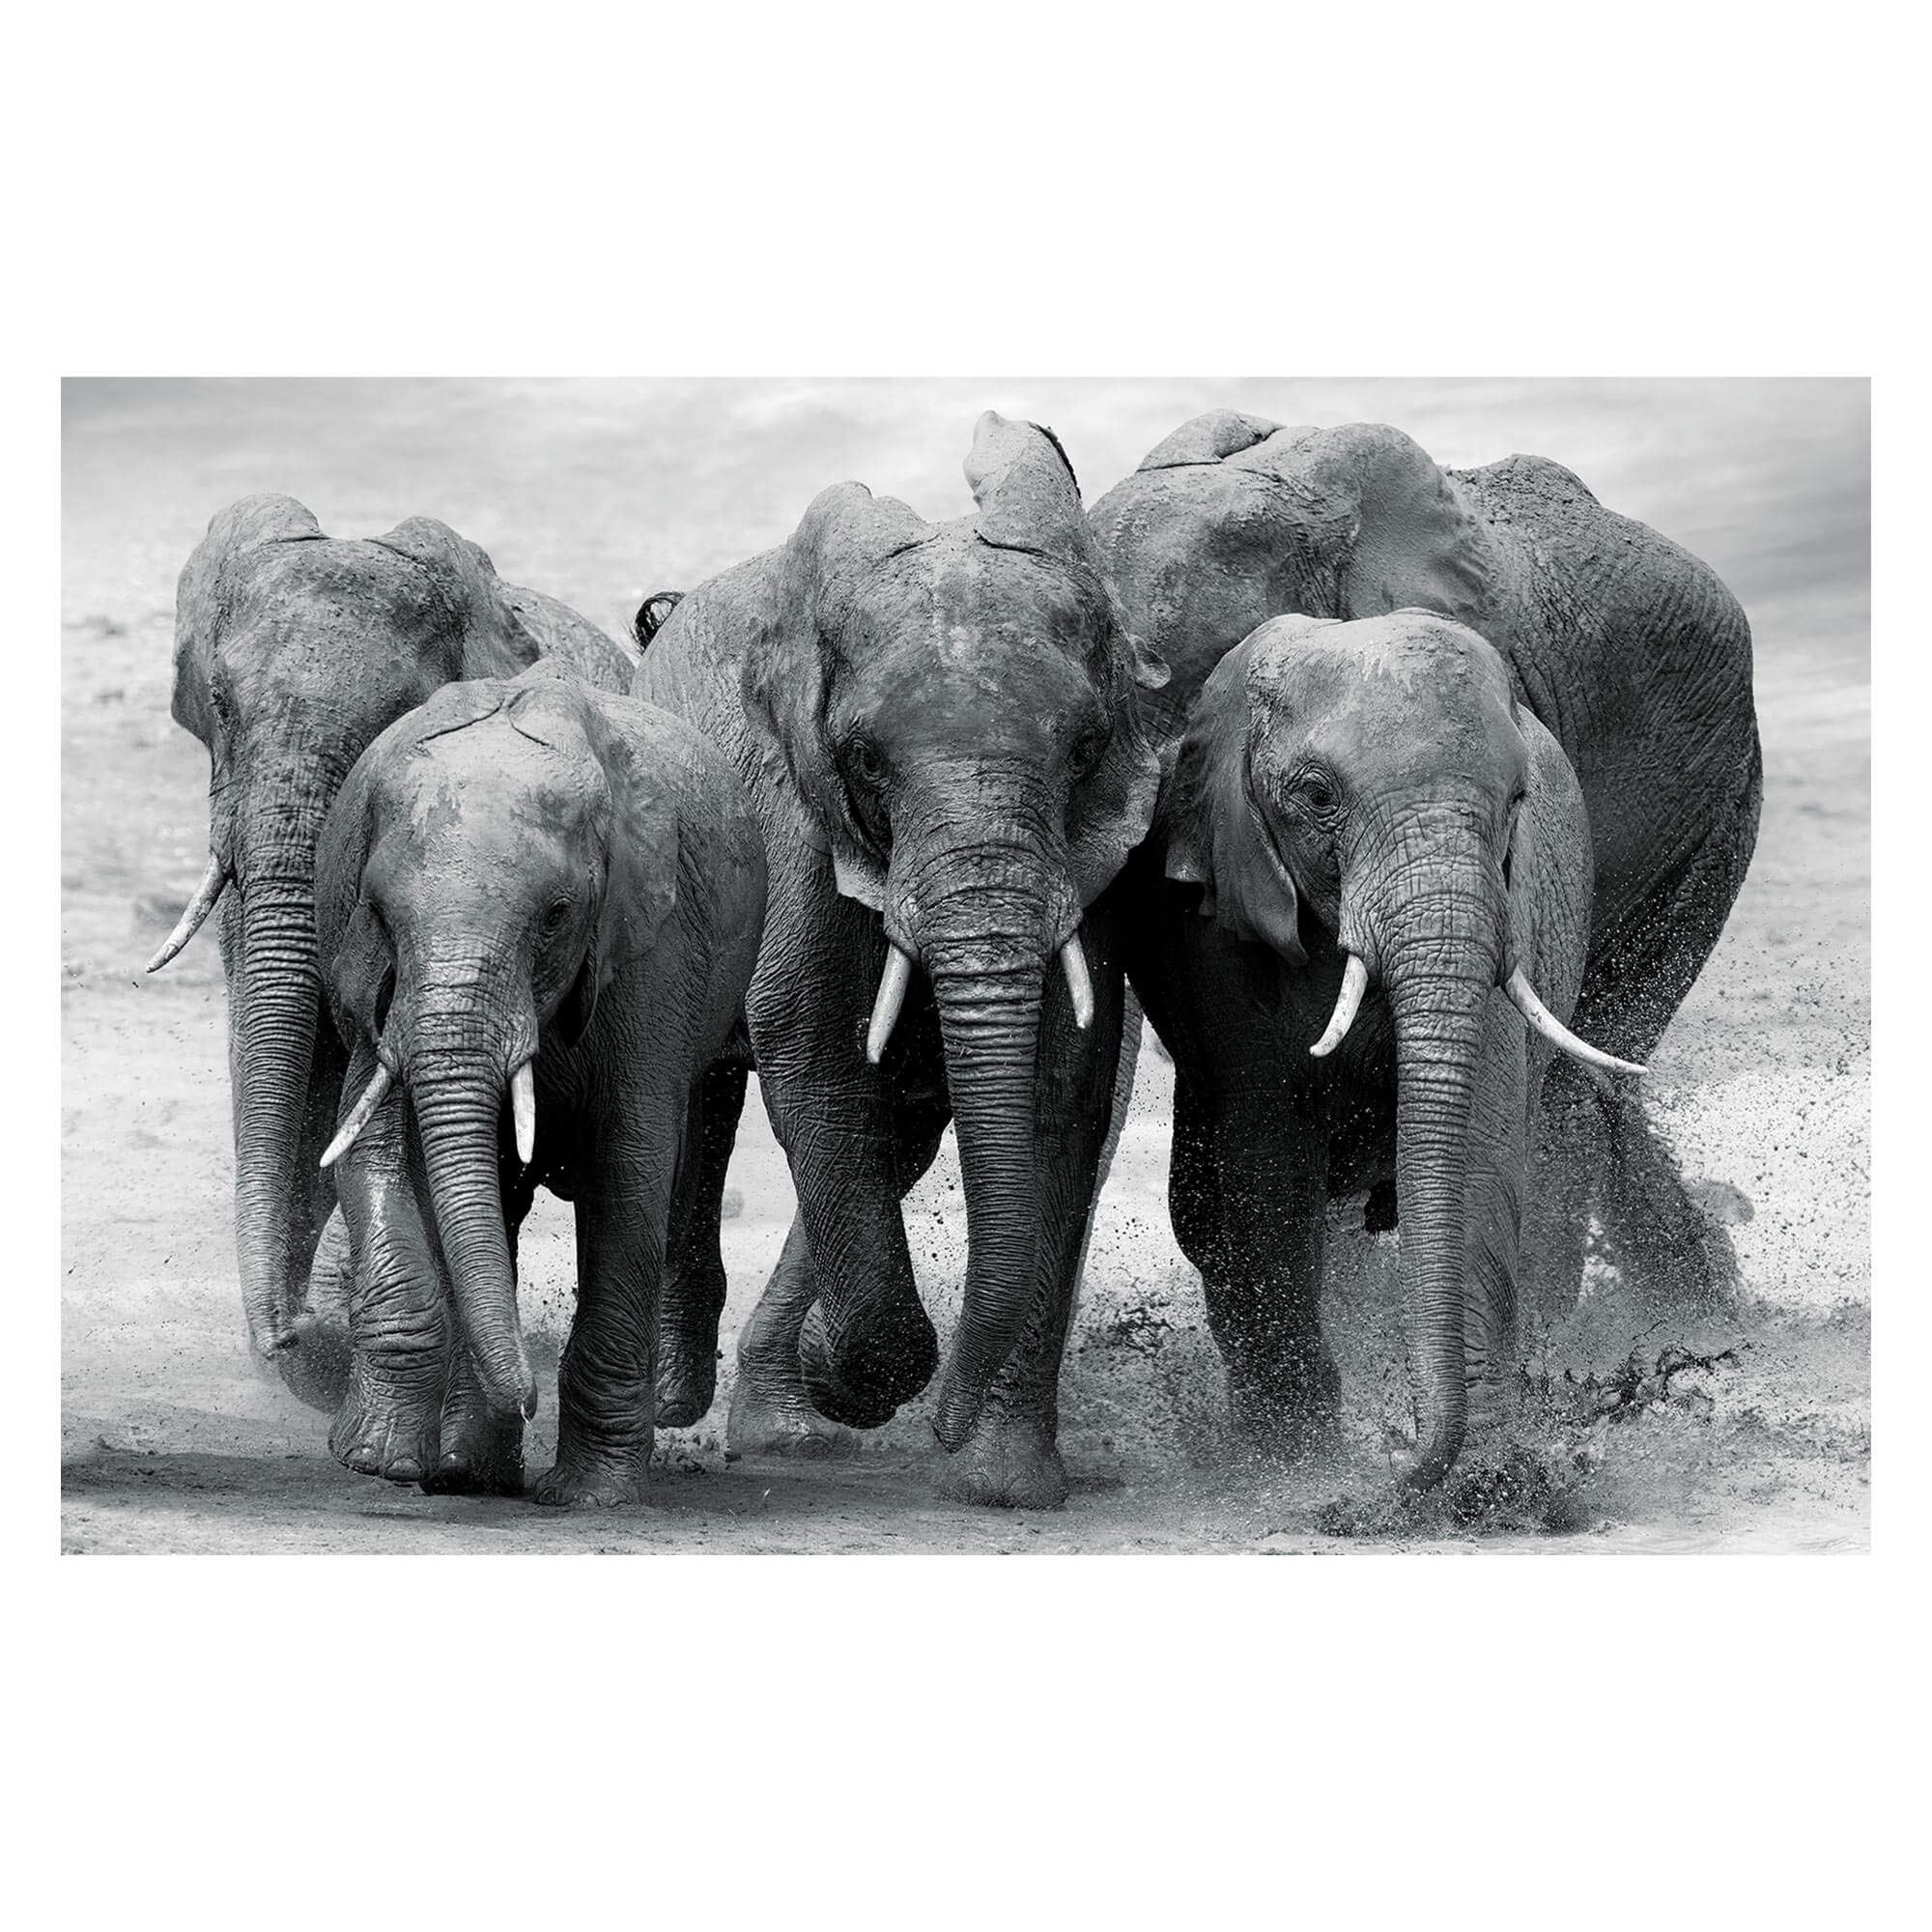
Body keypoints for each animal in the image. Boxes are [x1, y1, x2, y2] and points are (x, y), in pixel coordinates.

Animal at [313, 666, 765, 1504]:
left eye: (555, 916)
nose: (523, 1396)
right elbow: (374, 1150)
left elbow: (630, 1167)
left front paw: (591, 1495)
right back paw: (464, 1468)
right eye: (379, 913)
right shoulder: (373, 983)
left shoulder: (652, 951)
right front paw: (378, 1459)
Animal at [633, 411, 1170, 1506]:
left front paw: (1003, 1483)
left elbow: (1061, 1081)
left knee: (901, 1126)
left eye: (1084, 748)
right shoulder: (795, 811)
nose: (946, 1427)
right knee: (698, 1096)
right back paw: (675, 1398)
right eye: (865, 761)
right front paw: (859, 1374)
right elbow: (809, 1040)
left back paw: (789, 1427)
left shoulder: (1090, 858)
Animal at [1122, 608, 1637, 1487]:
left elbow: (1478, 1156)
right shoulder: (1222, 932)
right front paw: (1299, 1464)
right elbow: (1264, 1171)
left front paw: (1487, 1483)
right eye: (1317, 798)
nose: (1397, 1459)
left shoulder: (1508, 916)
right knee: (1206, 1213)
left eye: (1517, 799)